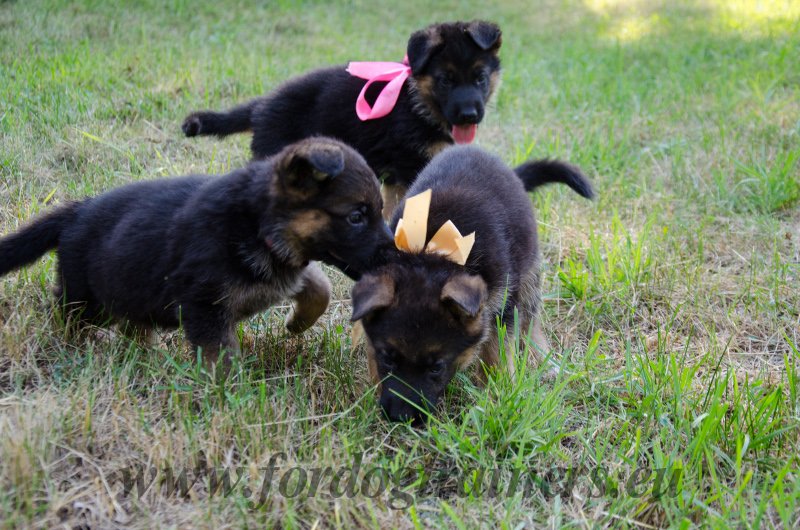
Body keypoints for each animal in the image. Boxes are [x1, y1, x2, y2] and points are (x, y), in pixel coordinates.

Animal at [0, 136, 390, 368]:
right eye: (356, 217)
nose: (395, 254)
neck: (258, 224)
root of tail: (76, 210)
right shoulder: (206, 307)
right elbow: (222, 360)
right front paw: (231, 402)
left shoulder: (283, 267)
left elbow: (319, 284)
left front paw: (297, 323)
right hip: (90, 301)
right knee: (65, 316)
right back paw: (69, 348)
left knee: (133, 328)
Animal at [183, 20, 500, 214]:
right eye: (445, 81)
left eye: (480, 78)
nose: (469, 116)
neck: (417, 101)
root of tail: (263, 105)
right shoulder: (409, 167)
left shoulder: (396, 177)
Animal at [352, 143, 592, 420]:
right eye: (388, 359)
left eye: (437, 367)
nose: (400, 417)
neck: (433, 252)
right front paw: (373, 386)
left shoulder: (503, 303)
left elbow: (496, 352)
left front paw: (497, 392)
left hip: (529, 275)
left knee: (530, 322)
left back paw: (542, 358)